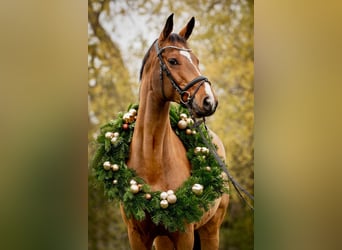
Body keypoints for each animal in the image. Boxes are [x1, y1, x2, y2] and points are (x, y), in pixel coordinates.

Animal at [121, 14, 230, 250]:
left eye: (196, 60)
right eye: (173, 61)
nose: (209, 101)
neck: (152, 161)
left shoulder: (184, 235)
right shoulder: (137, 236)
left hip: (210, 230)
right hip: (163, 239)